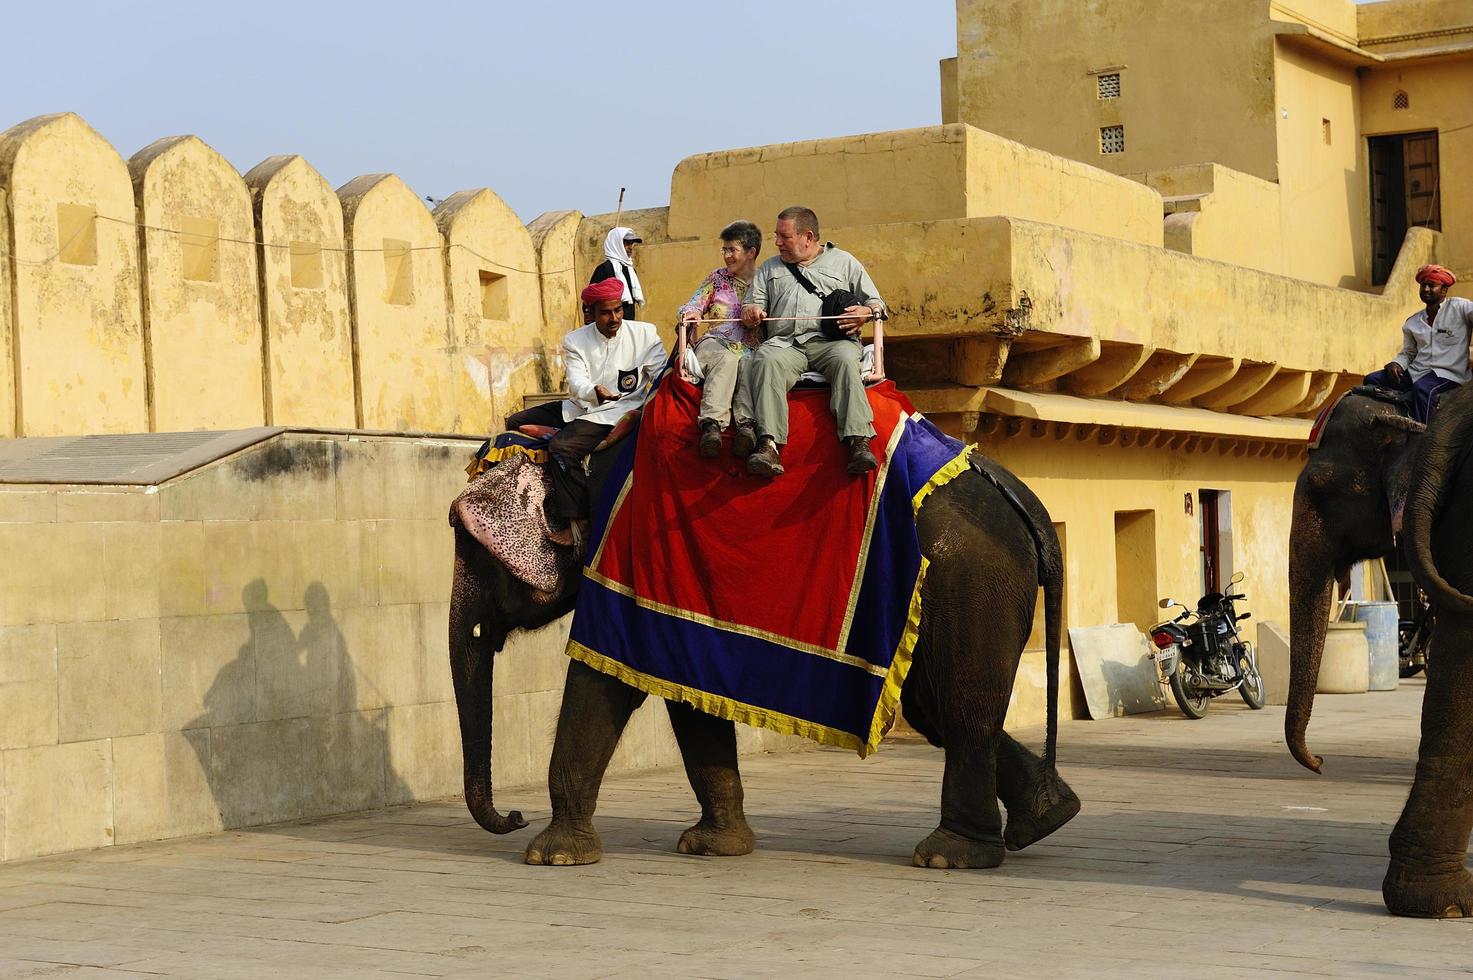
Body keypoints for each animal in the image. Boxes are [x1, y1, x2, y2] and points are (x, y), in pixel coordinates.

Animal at [441, 427, 1078, 866]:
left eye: (471, 551)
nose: (512, 815)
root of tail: (1024, 501)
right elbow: (685, 691)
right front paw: (714, 847)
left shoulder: (623, 558)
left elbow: (605, 680)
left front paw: (551, 856)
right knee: (937, 706)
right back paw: (1047, 817)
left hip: (971, 579)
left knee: (960, 705)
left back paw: (950, 856)